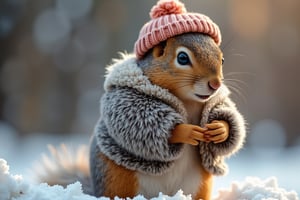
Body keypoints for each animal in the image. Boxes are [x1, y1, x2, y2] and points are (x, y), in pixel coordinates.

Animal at [35, 0, 246, 199]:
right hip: (120, 179)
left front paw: (220, 128)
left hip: (199, 185)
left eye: (222, 59)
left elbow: (227, 111)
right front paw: (184, 131)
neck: (189, 101)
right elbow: (134, 118)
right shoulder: (125, 98)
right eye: (183, 58)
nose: (215, 84)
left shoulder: (217, 100)